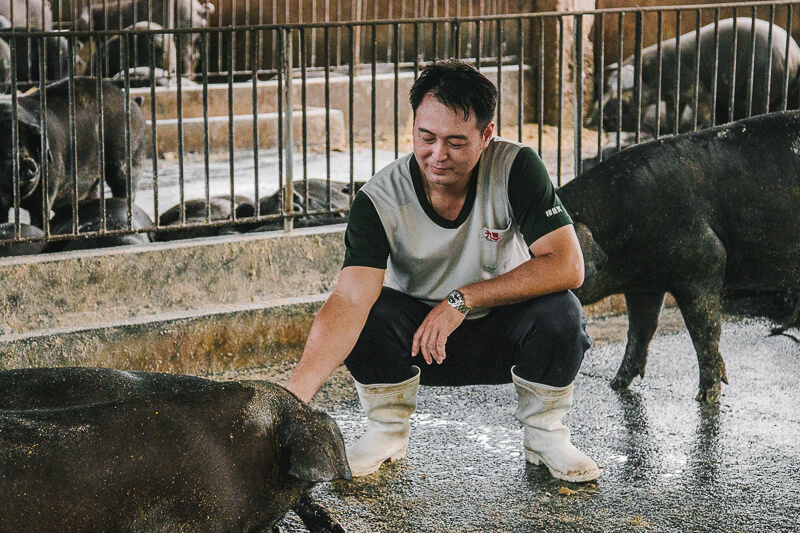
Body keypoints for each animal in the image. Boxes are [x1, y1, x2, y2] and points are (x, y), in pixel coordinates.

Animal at [560, 110, 800, 402]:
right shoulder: (644, 285)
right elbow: (641, 329)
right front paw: (617, 384)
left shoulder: (706, 260)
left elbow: (705, 329)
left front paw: (707, 396)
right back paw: (778, 329)